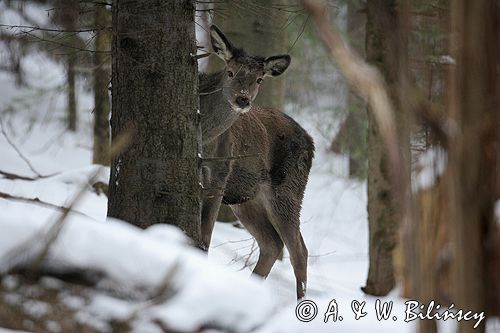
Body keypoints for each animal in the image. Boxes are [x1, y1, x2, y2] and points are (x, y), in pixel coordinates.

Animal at [198, 24, 312, 296]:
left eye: (259, 79)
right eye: (230, 72)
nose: (242, 99)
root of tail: (312, 143)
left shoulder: (220, 170)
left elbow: (205, 235)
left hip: (288, 191)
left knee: (298, 250)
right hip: (247, 198)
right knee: (272, 242)